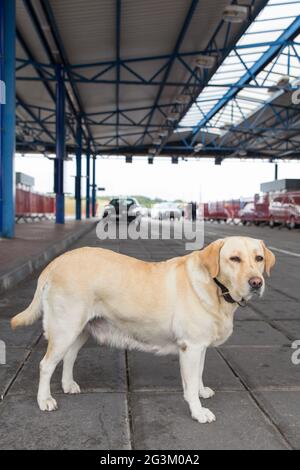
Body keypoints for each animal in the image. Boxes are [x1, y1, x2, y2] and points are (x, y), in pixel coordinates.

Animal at [11, 237, 274, 424]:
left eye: (259, 258)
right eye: (234, 259)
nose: (256, 283)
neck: (216, 287)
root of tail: (58, 261)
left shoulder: (199, 347)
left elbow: (198, 375)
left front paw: (201, 392)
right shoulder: (190, 347)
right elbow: (189, 385)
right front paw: (198, 411)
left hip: (81, 329)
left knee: (69, 356)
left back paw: (68, 385)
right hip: (66, 327)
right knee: (46, 365)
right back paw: (45, 399)